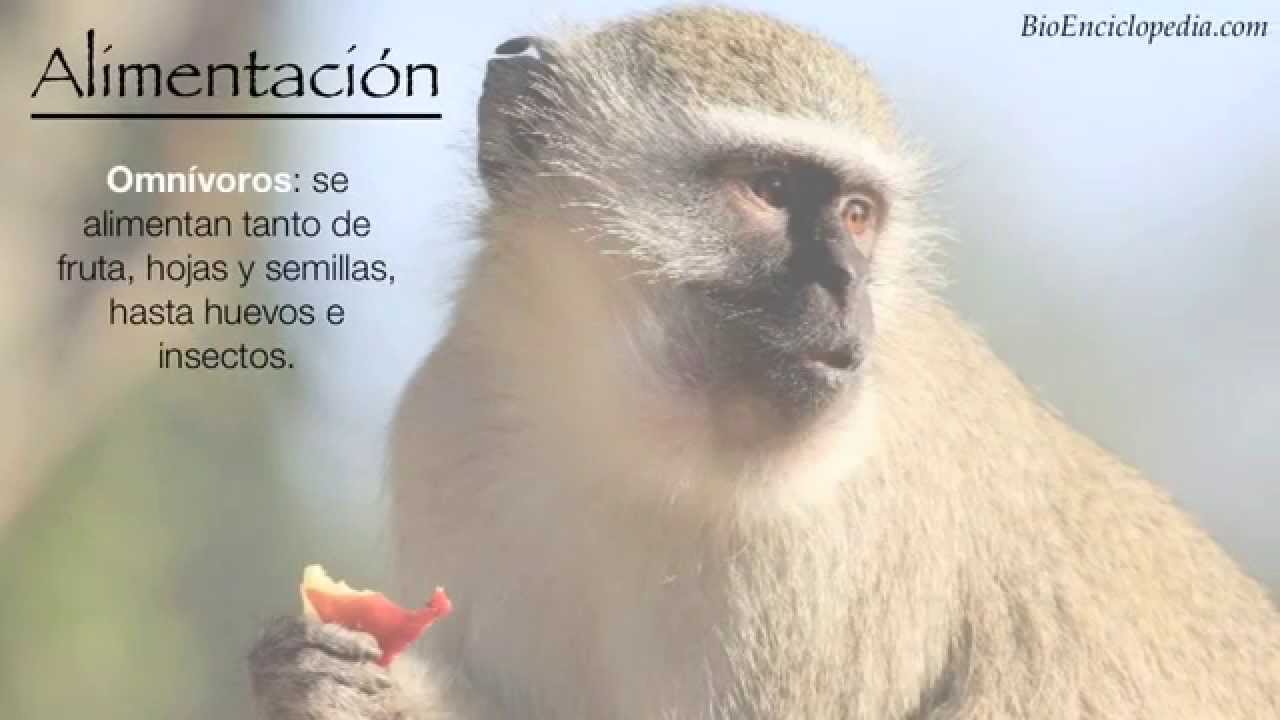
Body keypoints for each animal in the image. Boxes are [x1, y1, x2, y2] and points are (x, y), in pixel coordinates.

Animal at [248, 7, 1280, 719]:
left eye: (858, 214)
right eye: (771, 188)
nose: (845, 284)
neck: (633, 433)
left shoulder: (824, 551)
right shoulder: (448, 424)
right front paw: (329, 682)